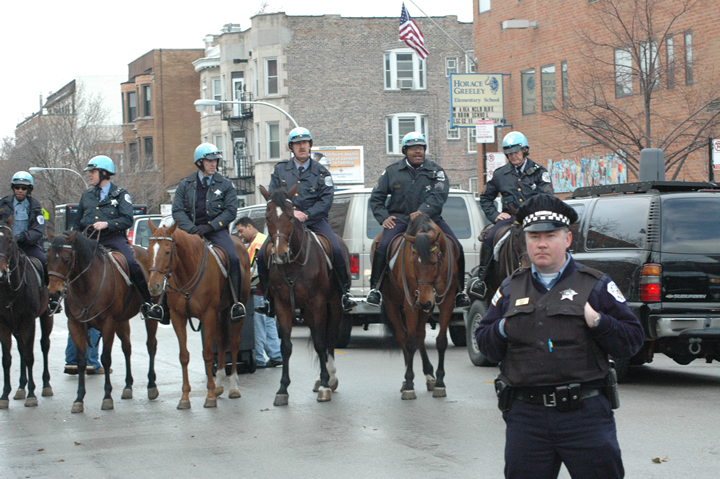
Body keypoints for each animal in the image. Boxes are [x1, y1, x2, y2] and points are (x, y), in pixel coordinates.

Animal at [0, 221, 53, 408]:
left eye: (10, 240)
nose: (1, 273)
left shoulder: (29, 321)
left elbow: (30, 356)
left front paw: (31, 394)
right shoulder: (4, 325)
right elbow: (7, 359)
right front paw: (4, 395)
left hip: (46, 316)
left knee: (44, 345)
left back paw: (45, 385)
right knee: (21, 348)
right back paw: (21, 387)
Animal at [46, 232, 159, 412]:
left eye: (66, 259)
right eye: (47, 257)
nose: (53, 294)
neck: (86, 285)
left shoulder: (107, 324)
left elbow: (106, 358)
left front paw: (107, 397)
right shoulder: (75, 325)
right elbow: (81, 361)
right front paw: (79, 399)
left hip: (148, 317)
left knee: (151, 345)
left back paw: (152, 385)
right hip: (121, 321)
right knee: (127, 348)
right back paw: (128, 386)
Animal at [145, 219, 252, 410]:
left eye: (167, 251)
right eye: (149, 251)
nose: (154, 286)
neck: (187, 272)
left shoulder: (208, 315)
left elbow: (208, 354)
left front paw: (209, 396)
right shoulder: (178, 318)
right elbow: (184, 356)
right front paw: (185, 397)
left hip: (236, 311)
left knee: (233, 342)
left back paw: (233, 386)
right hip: (221, 312)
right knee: (222, 341)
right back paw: (219, 384)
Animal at [258, 186, 346, 406]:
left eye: (290, 216)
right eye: (267, 217)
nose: (279, 254)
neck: (291, 265)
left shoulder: (318, 303)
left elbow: (321, 342)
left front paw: (325, 386)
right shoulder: (282, 305)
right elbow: (286, 346)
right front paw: (282, 389)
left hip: (334, 306)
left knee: (330, 338)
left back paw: (330, 377)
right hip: (306, 311)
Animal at [374, 214, 458, 402]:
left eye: (434, 262)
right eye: (413, 263)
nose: (425, 301)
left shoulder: (447, 301)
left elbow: (441, 341)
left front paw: (440, 383)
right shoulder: (410, 303)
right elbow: (410, 342)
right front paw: (409, 385)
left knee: (420, 335)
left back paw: (429, 375)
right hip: (392, 304)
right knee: (403, 336)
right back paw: (407, 378)